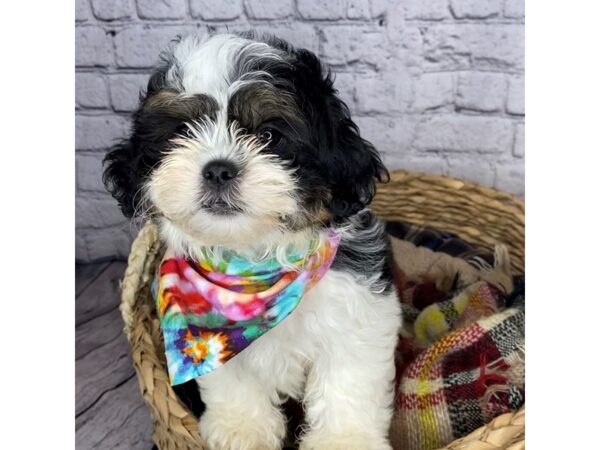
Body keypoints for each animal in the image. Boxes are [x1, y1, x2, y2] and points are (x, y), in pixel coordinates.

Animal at [105, 31, 400, 450]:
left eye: (268, 135)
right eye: (183, 132)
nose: (218, 169)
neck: (255, 259)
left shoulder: (359, 313)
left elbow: (348, 380)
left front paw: (345, 440)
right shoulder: (210, 337)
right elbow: (233, 380)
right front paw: (242, 429)